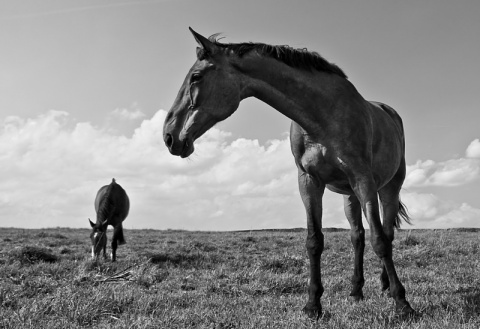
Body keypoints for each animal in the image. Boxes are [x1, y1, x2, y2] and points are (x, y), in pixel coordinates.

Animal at [162, 28, 416, 318]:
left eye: (196, 76)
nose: (169, 135)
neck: (322, 115)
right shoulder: (308, 181)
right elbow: (314, 241)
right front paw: (313, 304)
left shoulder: (363, 179)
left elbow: (380, 240)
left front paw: (402, 303)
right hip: (349, 195)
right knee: (357, 237)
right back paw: (356, 291)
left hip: (387, 188)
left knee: (385, 232)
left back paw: (385, 285)